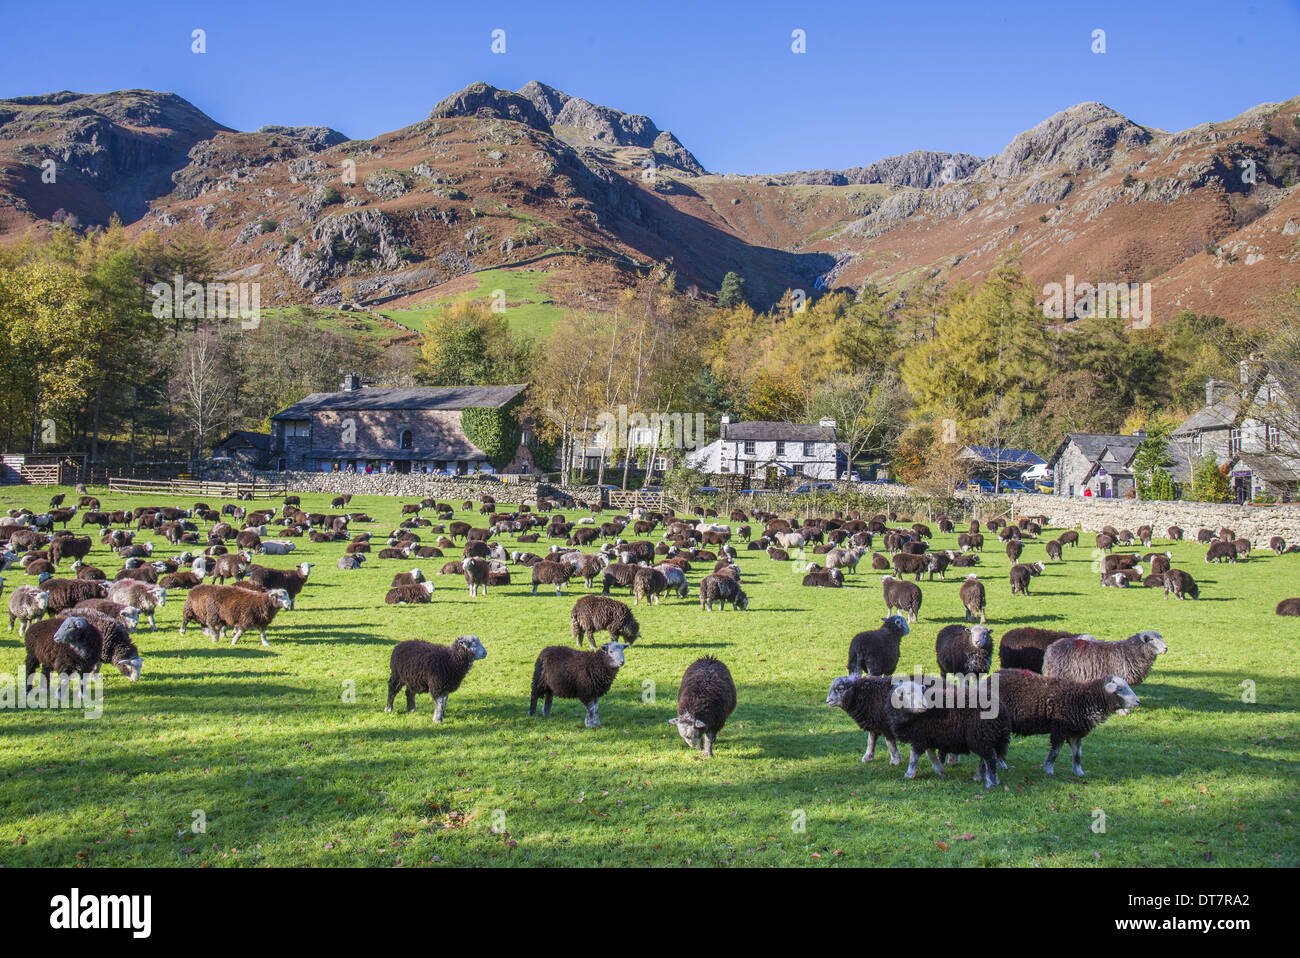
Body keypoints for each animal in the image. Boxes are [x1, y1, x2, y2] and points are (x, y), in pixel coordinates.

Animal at [878, 670, 1008, 785]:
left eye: (921, 692)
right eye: (909, 693)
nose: (924, 706)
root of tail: (1002, 709)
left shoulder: (919, 737)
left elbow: (913, 757)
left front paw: (909, 774)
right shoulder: (925, 736)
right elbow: (931, 754)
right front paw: (939, 769)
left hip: (980, 735)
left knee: (990, 758)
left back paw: (991, 782)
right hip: (985, 736)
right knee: (985, 758)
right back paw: (979, 776)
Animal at [993, 670, 1138, 774]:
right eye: (1119, 689)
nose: (1138, 701)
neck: (1083, 699)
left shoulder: (1075, 732)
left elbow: (1077, 754)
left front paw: (1078, 772)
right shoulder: (1059, 729)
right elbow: (1055, 752)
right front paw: (1048, 770)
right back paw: (1001, 764)